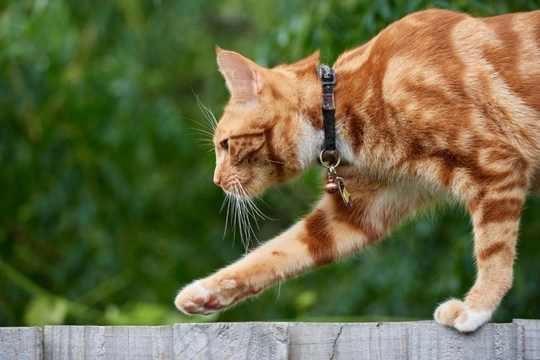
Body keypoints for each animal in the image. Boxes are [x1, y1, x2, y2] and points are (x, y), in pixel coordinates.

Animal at [176, 8, 540, 334]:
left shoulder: (495, 164)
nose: (217, 181)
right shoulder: (363, 209)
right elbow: (276, 253)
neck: (341, 103)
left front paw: (477, 307)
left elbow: (493, 250)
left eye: (225, 145)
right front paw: (205, 292)